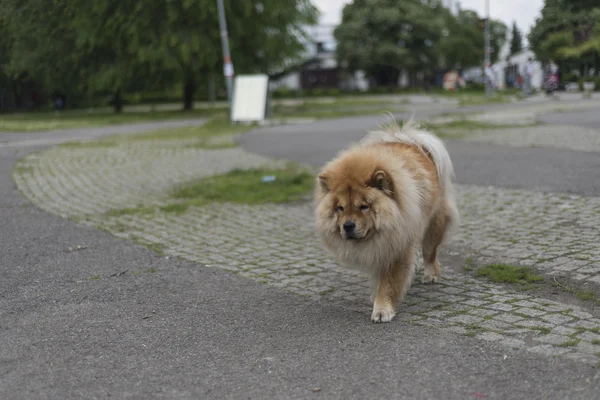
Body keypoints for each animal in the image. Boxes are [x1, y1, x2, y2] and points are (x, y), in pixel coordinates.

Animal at [314, 117, 460, 324]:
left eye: (364, 206)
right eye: (340, 208)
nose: (347, 225)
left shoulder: (398, 247)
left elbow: (388, 282)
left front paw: (382, 309)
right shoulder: (381, 248)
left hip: (433, 226)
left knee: (430, 253)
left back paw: (431, 275)